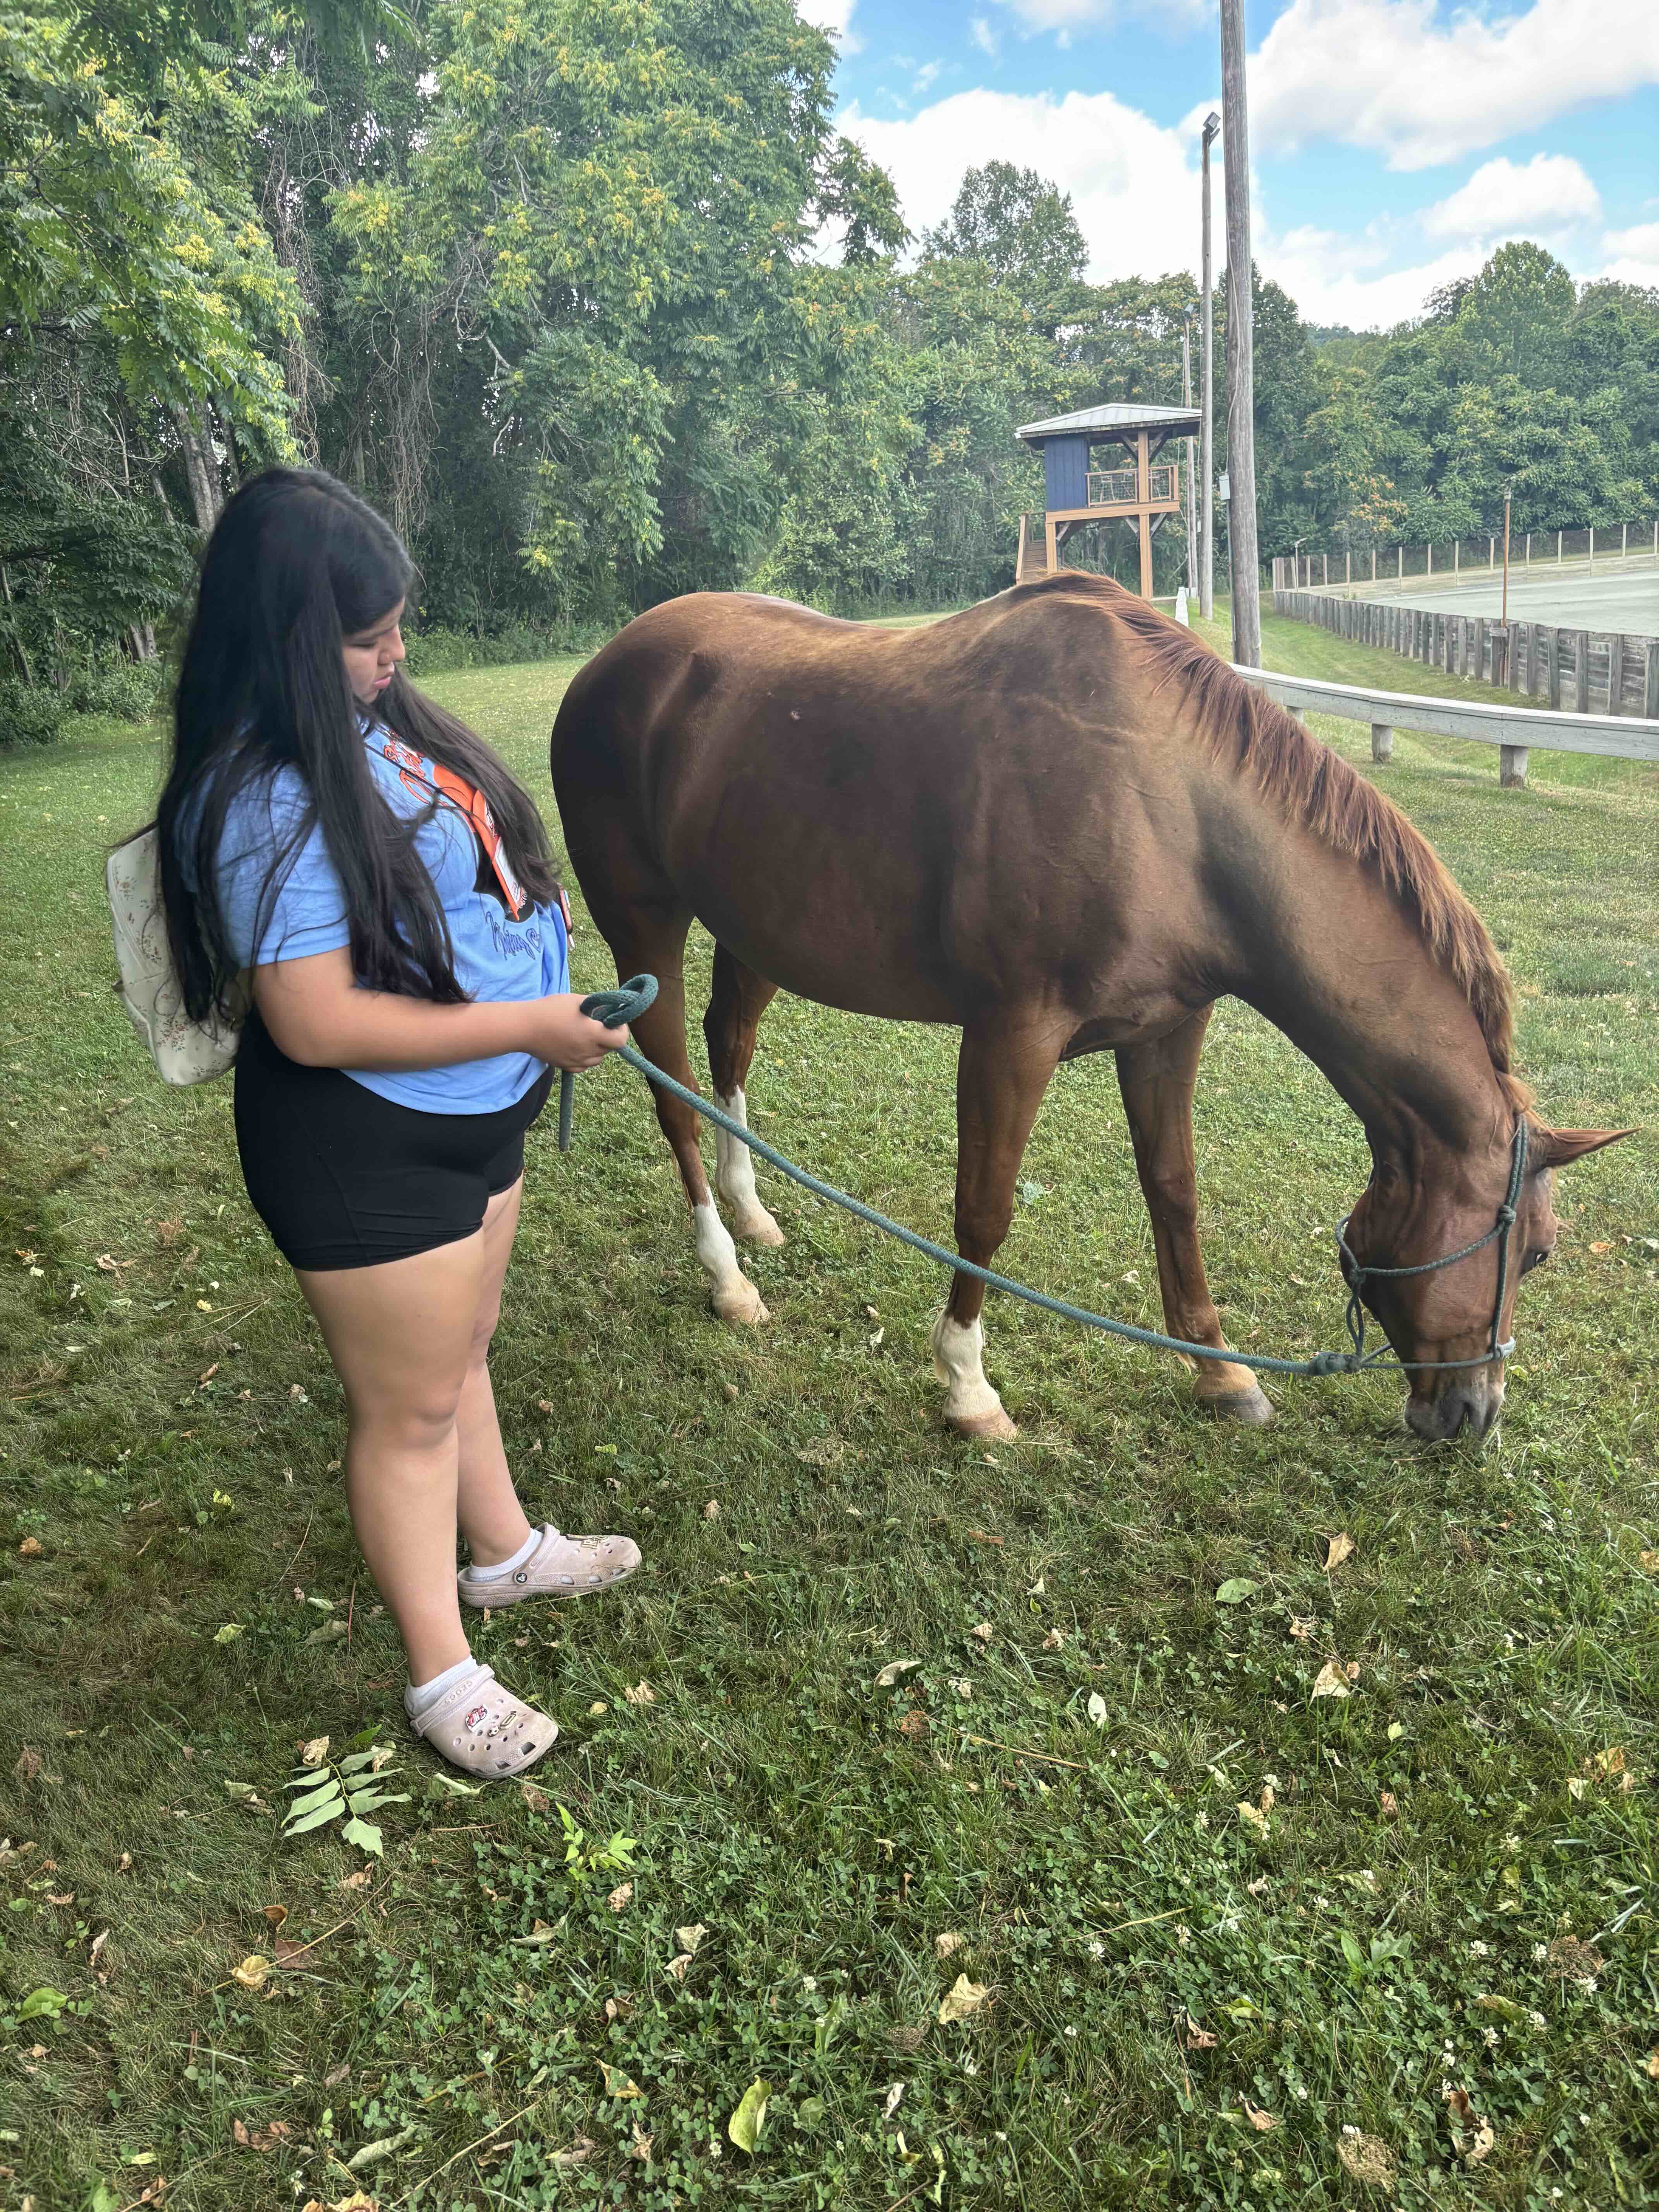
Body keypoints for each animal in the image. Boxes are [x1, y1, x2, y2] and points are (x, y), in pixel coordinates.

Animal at [553, 570, 1628, 1442]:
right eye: (1536, 1254)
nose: (1474, 1415)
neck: (1172, 810)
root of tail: (607, 664)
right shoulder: (1011, 1035)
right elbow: (983, 1209)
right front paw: (968, 1387)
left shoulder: (1169, 1031)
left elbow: (1174, 1192)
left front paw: (1220, 1374)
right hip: (647, 929)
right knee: (674, 1093)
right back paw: (726, 1275)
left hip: (754, 930)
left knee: (728, 1053)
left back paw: (754, 1214)